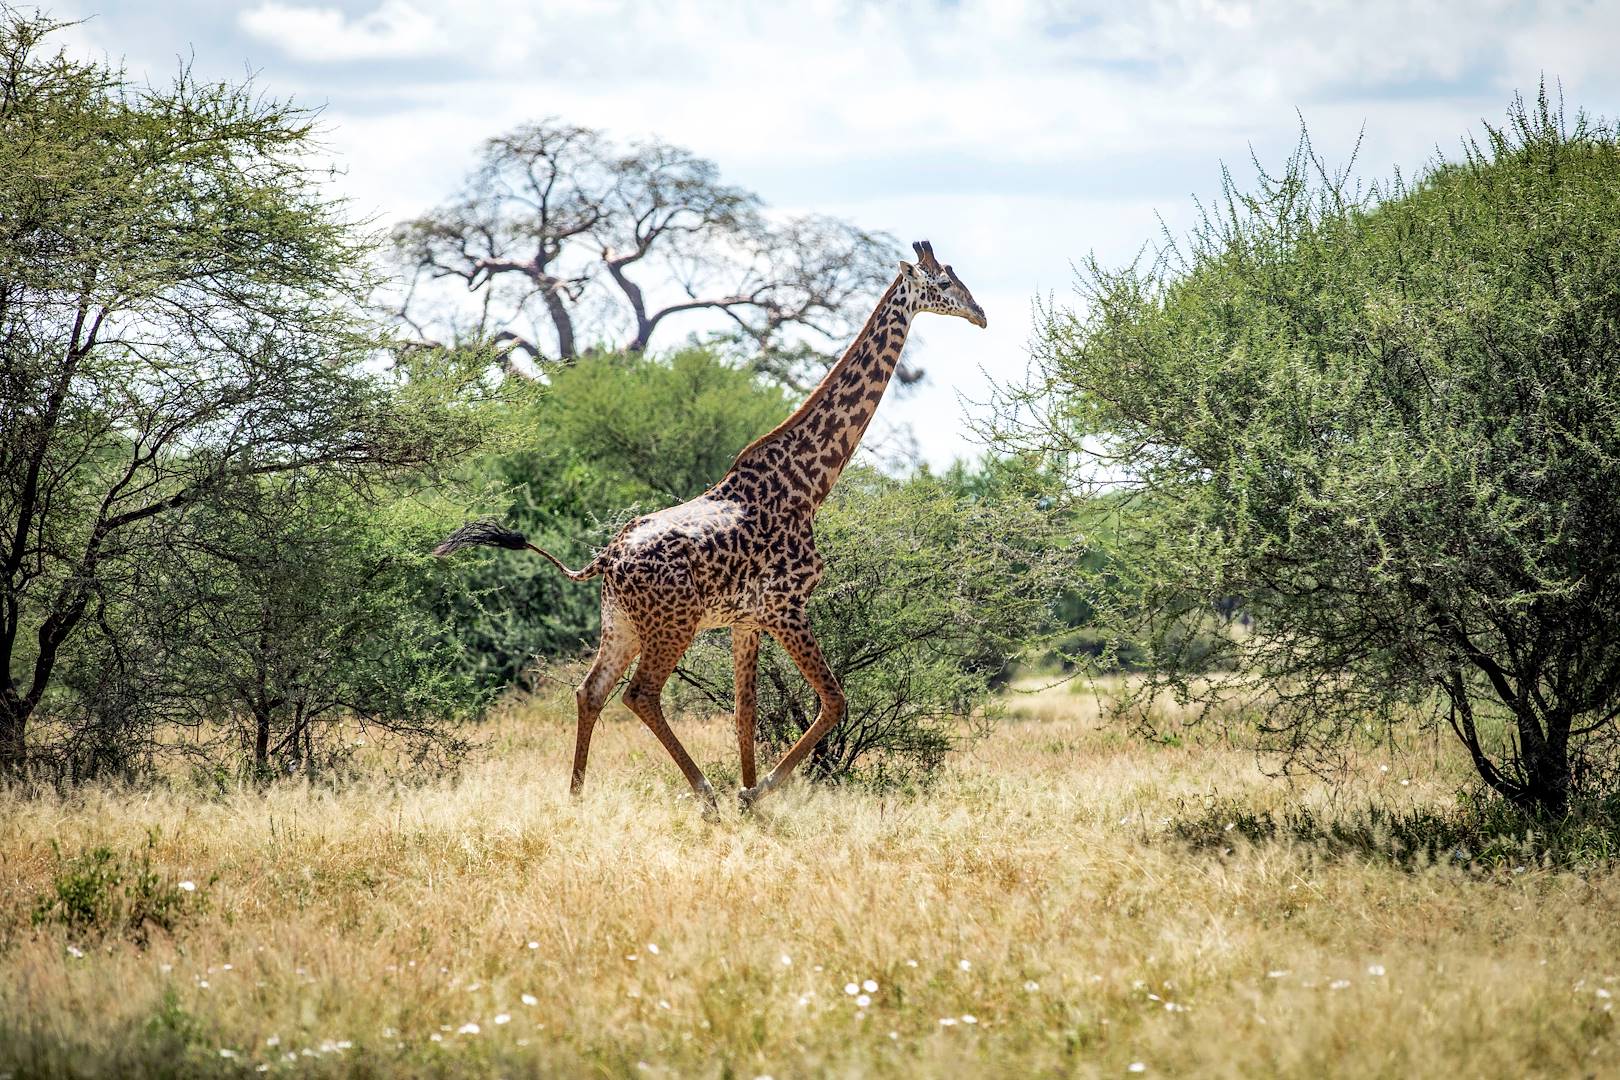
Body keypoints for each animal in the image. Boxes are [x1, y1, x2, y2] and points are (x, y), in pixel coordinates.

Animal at [435, 240, 986, 814]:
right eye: (943, 285)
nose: (981, 315)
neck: (809, 483)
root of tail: (607, 558)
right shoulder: (785, 606)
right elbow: (834, 701)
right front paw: (754, 792)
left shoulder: (747, 619)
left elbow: (745, 714)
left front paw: (750, 797)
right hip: (672, 625)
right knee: (639, 694)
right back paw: (704, 794)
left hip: (621, 625)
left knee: (591, 691)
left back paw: (577, 797)